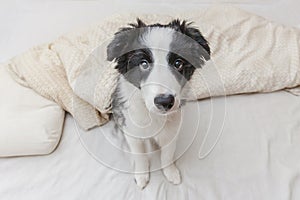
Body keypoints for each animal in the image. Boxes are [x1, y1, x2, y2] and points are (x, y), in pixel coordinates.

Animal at [106, 18, 210, 189]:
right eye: (143, 64)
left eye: (178, 63)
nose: (165, 101)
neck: (153, 115)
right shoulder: (132, 131)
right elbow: (139, 155)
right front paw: (141, 176)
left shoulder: (172, 131)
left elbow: (167, 155)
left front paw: (170, 173)